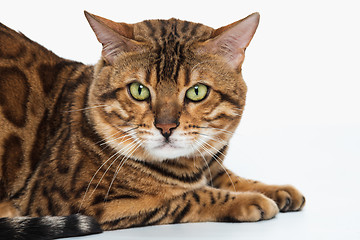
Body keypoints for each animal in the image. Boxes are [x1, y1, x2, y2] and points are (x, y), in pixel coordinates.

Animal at [0, 11, 304, 240]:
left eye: (196, 92)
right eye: (139, 90)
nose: (166, 127)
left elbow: (226, 175)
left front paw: (275, 189)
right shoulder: (86, 202)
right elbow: (187, 197)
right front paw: (250, 200)